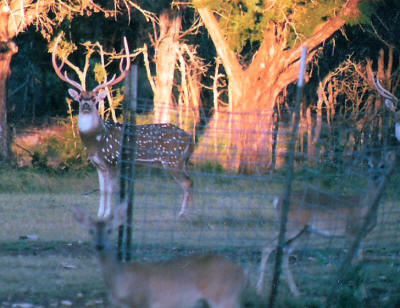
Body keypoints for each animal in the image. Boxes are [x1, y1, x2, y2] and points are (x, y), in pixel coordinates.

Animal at [52, 36, 194, 218]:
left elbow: (111, 191)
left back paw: (183, 214)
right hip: (181, 161)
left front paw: (108, 215)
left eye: (94, 99)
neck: (96, 141)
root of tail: (190, 139)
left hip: (173, 160)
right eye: (80, 98)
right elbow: (102, 190)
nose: (86, 105)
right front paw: (100, 215)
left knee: (188, 183)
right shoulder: (99, 165)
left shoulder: (113, 162)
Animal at [72, 205, 247, 308]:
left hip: (223, 297)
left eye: (110, 230)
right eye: (90, 231)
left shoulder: (142, 301)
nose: (99, 245)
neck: (119, 283)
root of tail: (243, 272)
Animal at [256, 150, 396, 298]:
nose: (374, 176)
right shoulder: (351, 231)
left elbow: (361, 261)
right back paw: (259, 289)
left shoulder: (362, 235)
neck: (365, 206)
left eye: (382, 165)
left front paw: (363, 293)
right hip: (292, 225)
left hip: (304, 231)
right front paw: (358, 292)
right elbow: (354, 262)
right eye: (369, 165)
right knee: (267, 246)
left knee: (285, 252)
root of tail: (277, 200)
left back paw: (296, 292)